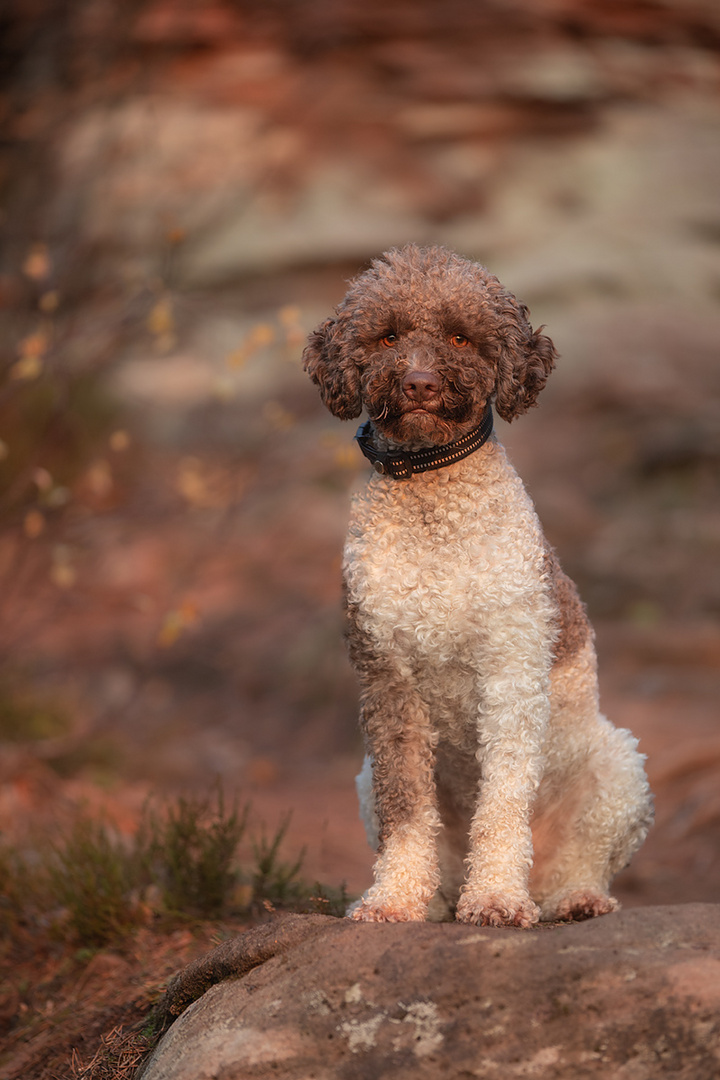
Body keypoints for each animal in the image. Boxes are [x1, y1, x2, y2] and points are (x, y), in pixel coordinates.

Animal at [302, 245, 651, 928]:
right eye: (387, 336)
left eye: (461, 336)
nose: (419, 383)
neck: (432, 495)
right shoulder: (388, 681)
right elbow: (407, 811)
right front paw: (392, 900)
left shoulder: (512, 672)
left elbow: (503, 802)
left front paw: (493, 897)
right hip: (362, 779)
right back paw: (434, 898)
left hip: (619, 768)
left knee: (583, 857)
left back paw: (573, 898)